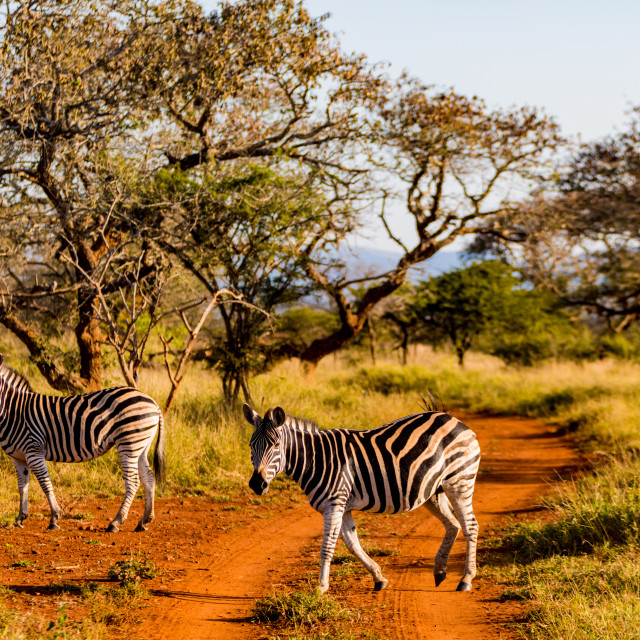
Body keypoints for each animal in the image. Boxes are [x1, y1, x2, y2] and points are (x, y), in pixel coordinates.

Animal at [0, 356, 168, 528]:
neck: (12, 410)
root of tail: (153, 402)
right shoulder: (18, 456)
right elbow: (22, 486)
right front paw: (20, 518)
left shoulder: (34, 450)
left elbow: (45, 484)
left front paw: (54, 518)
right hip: (141, 446)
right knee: (148, 478)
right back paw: (145, 520)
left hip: (129, 443)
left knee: (133, 482)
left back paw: (116, 521)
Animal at [245, 404, 480, 596]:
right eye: (250, 446)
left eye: (276, 445)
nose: (257, 484)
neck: (317, 459)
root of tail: (454, 420)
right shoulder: (343, 507)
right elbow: (352, 544)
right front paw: (378, 577)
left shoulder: (334, 504)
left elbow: (327, 547)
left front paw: (321, 586)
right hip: (433, 491)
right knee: (453, 524)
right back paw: (439, 571)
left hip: (460, 481)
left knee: (470, 526)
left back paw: (466, 579)